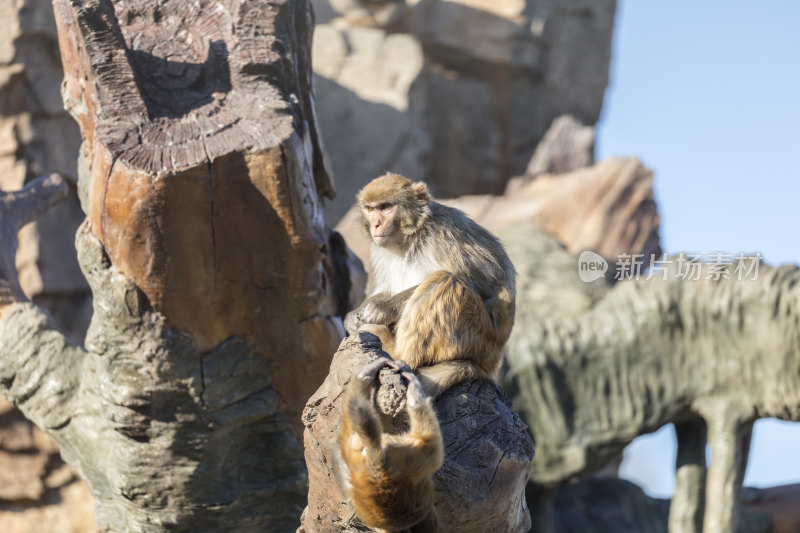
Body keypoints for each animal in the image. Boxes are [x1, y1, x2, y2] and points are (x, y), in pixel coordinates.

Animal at [332, 356, 444, 528]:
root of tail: (377, 465)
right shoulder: (413, 457)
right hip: (410, 455)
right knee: (434, 449)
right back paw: (414, 392)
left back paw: (364, 377)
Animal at [342, 172, 516, 396]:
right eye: (370, 209)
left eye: (386, 207)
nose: (376, 225)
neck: (410, 237)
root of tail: (488, 367)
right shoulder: (379, 248)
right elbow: (386, 287)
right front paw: (353, 316)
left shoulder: (444, 234)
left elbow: (481, 283)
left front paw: (381, 308)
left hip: (479, 339)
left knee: (445, 280)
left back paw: (396, 353)